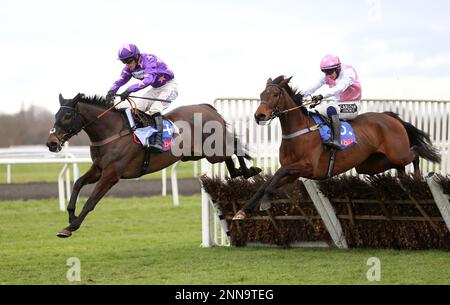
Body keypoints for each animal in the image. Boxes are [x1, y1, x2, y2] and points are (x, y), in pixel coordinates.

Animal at [46, 93, 260, 238]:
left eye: (67, 116)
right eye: (56, 115)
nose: (51, 143)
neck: (112, 132)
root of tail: (208, 107)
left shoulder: (111, 174)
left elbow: (91, 201)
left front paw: (71, 227)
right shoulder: (99, 169)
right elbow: (77, 184)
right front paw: (70, 216)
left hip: (213, 151)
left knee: (235, 148)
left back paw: (249, 170)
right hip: (197, 155)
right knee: (230, 155)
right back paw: (239, 172)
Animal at [234, 75, 442, 218]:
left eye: (276, 94)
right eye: (261, 94)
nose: (259, 116)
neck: (300, 131)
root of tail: (390, 117)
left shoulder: (306, 167)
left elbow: (276, 176)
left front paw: (265, 201)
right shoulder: (293, 172)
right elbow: (267, 183)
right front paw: (243, 211)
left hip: (398, 153)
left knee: (414, 154)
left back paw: (416, 178)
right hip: (369, 164)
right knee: (398, 166)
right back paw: (404, 182)